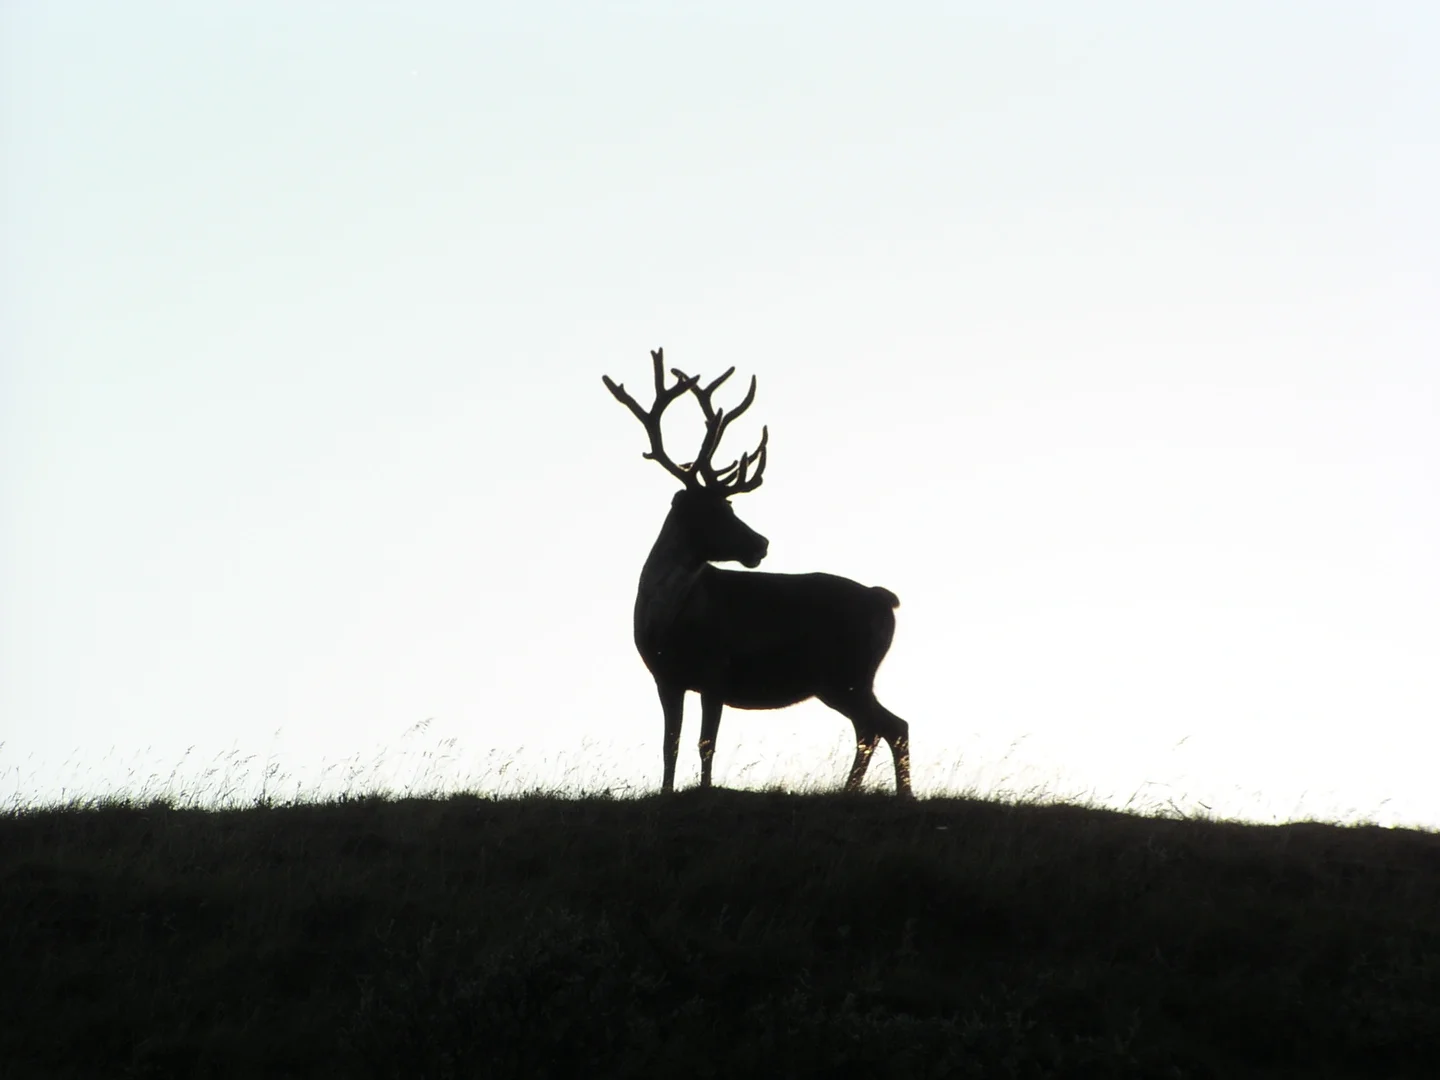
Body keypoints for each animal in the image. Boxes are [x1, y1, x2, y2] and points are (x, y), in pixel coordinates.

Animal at [602, 348, 913, 798]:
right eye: (716, 511)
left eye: (729, 505)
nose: (761, 544)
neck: (668, 616)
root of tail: (883, 598)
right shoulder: (666, 678)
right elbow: (670, 743)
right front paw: (666, 792)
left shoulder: (716, 669)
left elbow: (706, 742)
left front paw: (705, 791)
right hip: (842, 678)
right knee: (875, 727)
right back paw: (856, 790)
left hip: (849, 671)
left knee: (889, 725)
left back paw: (892, 793)